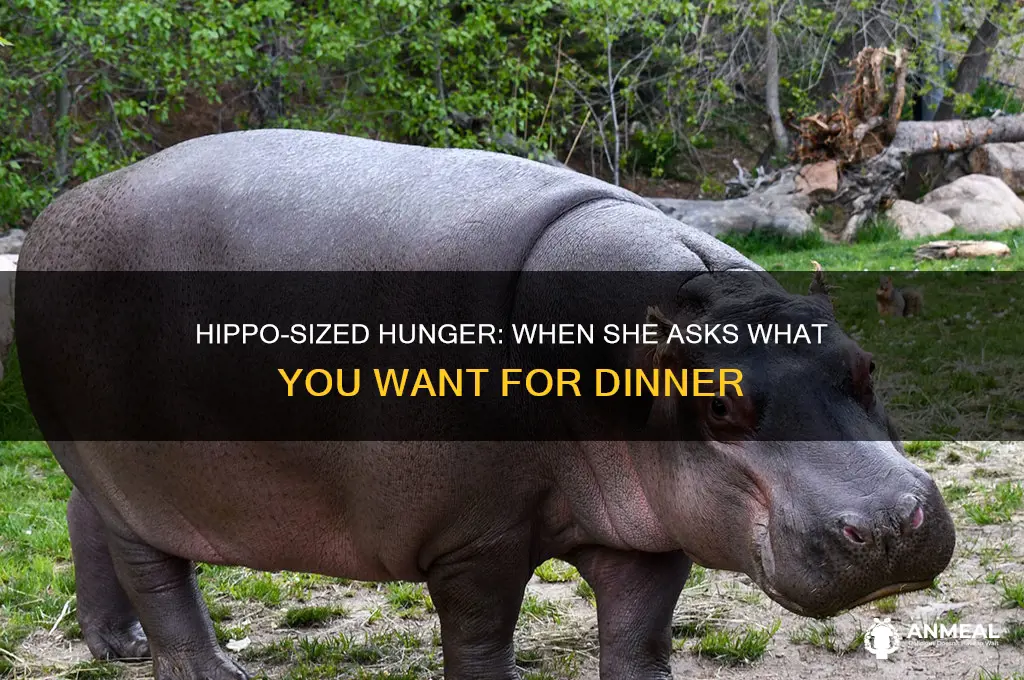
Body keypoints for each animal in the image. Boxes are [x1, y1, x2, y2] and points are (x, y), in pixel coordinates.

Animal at [16, 129, 955, 680]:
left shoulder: (650, 530)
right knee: (157, 573)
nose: (888, 522)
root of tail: (58, 209)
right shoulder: (473, 544)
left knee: (80, 519)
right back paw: (207, 670)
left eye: (866, 364)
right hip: (135, 477)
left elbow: (640, 636)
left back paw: (118, 648)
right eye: (719, 410)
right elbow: (478, 642)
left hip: (103, 466)